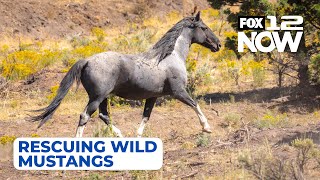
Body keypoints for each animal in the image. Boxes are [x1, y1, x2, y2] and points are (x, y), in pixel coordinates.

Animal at [31, 11, 221, 137]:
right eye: (204, 28)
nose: (218, 45)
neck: (169, 57)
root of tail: (87, 61)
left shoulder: (153, 96)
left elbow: (145, 117)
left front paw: (138, 136)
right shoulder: (178, 92)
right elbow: (195, 104)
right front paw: (207, 127)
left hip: (103, 97)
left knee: (103, 115)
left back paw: (120, 136)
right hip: (97, 97)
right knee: (85, 116)